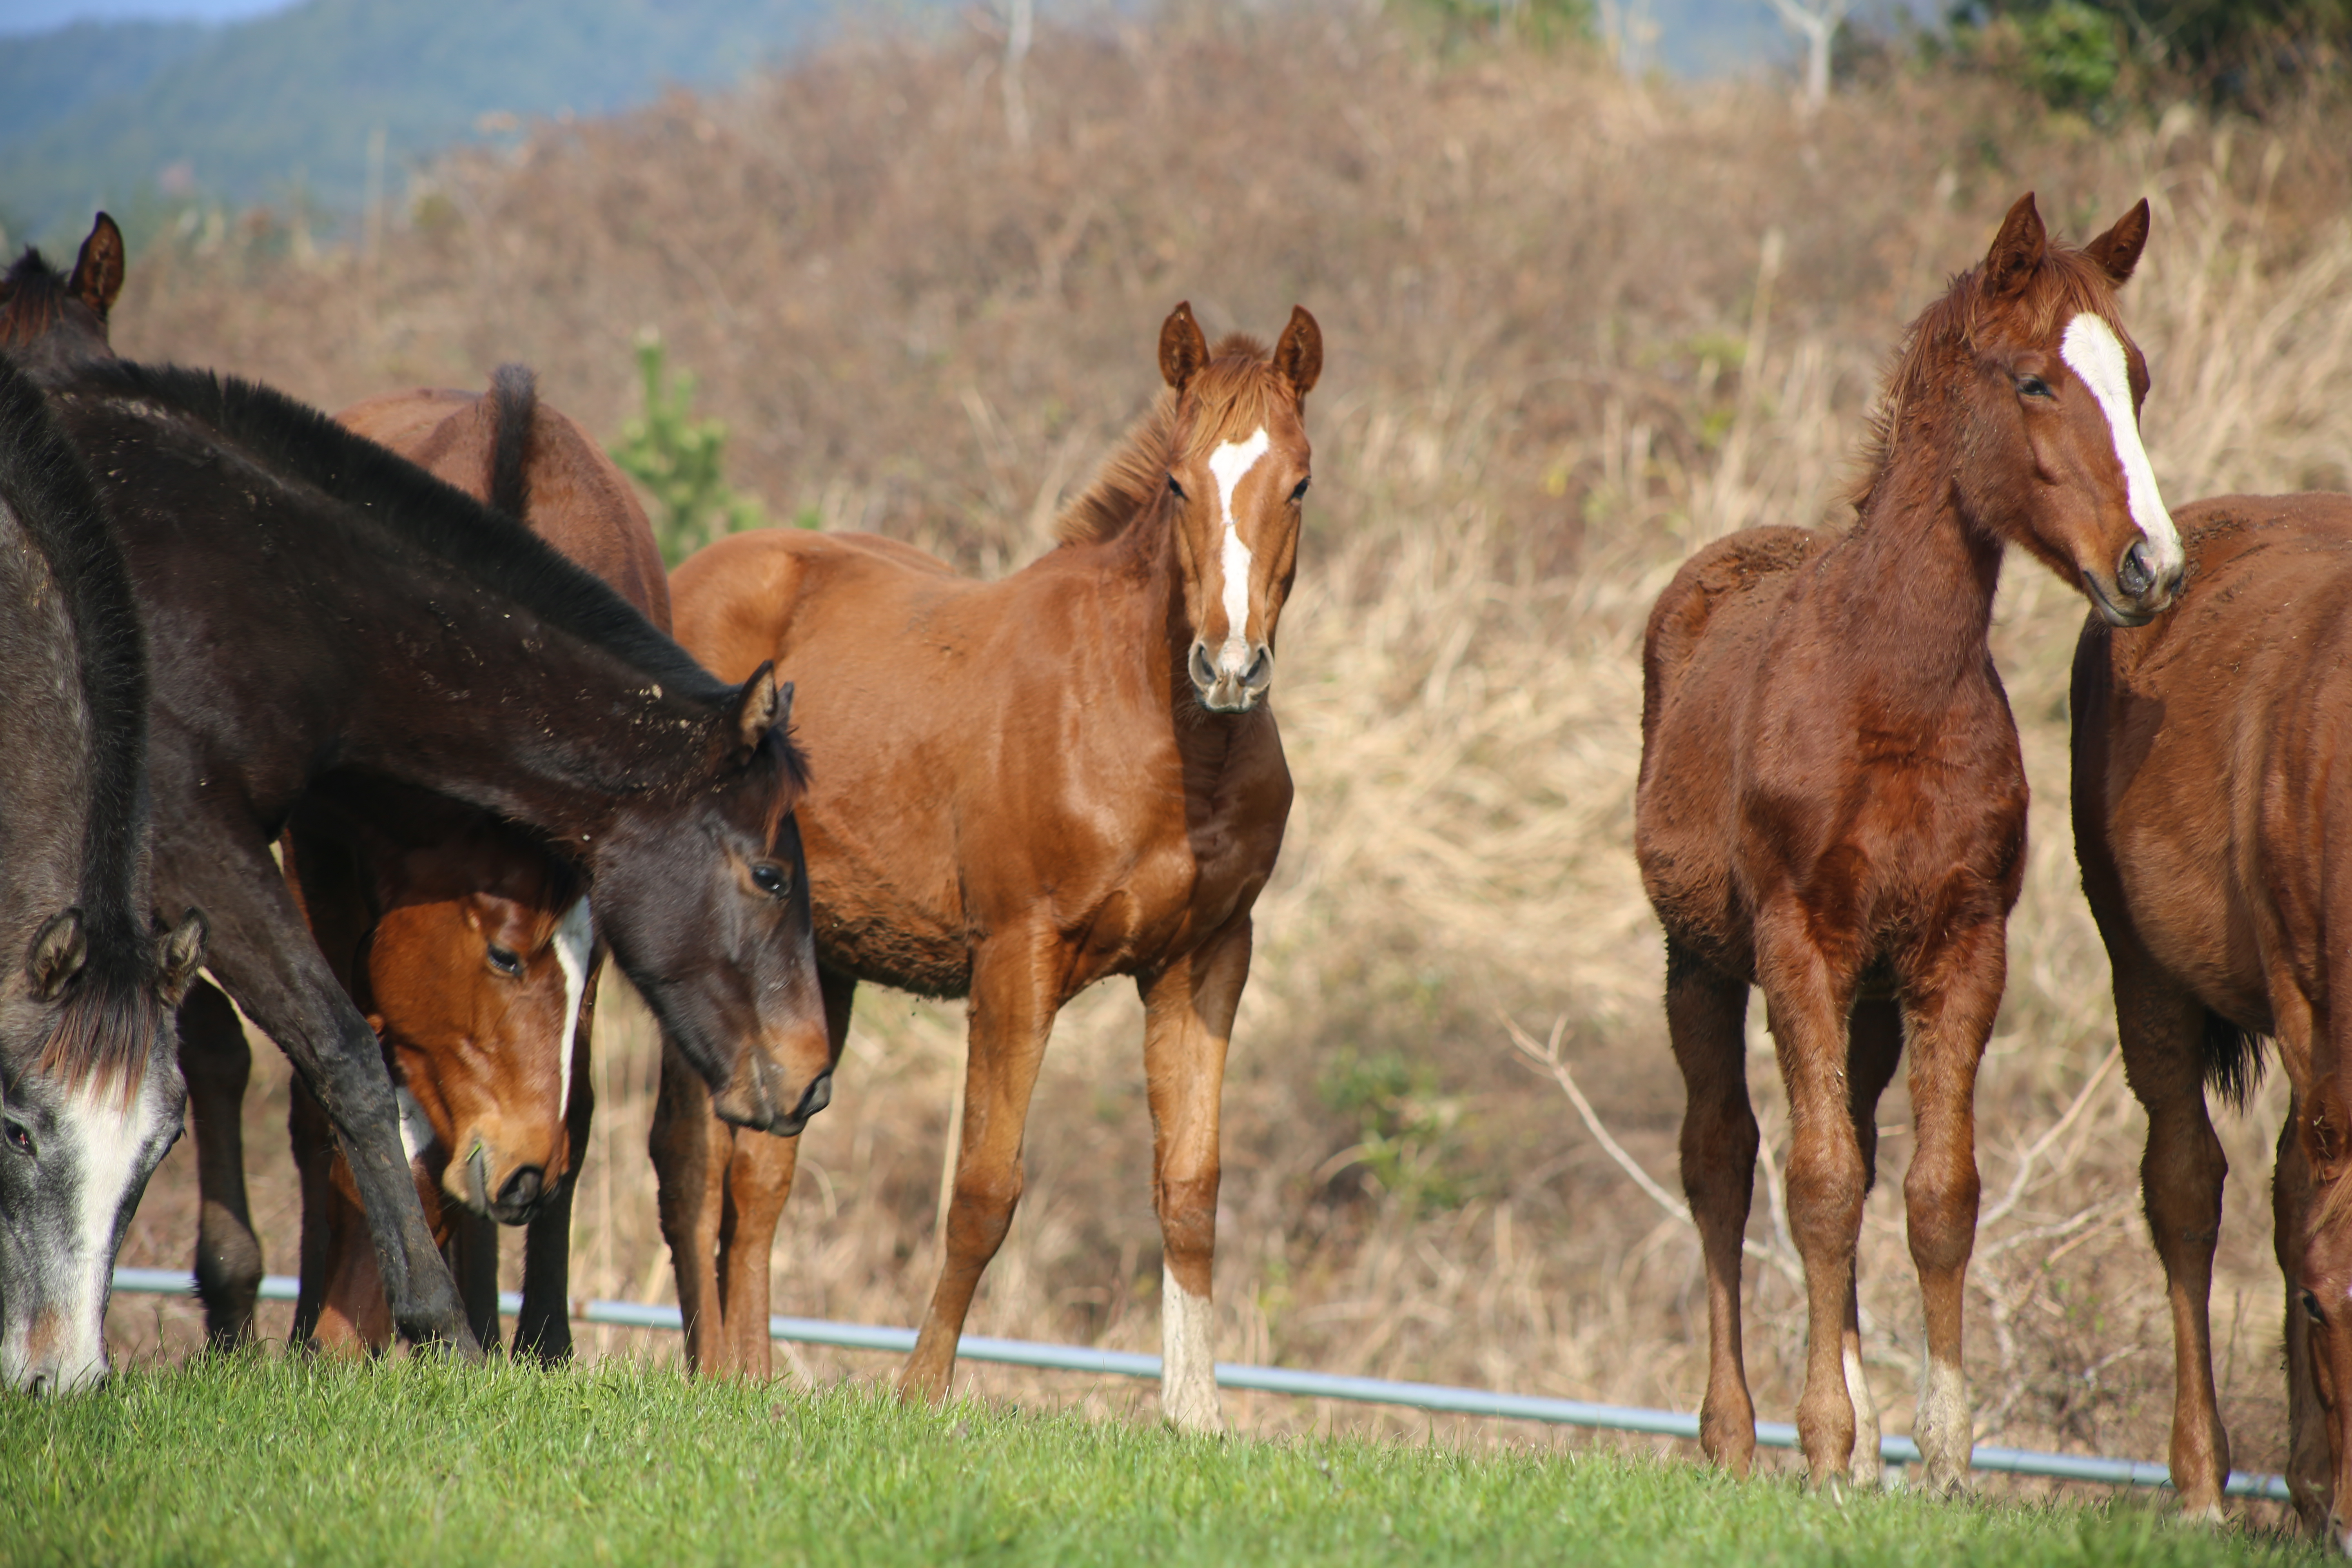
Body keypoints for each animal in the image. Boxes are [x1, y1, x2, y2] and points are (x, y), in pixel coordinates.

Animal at [27, 352, 833, 1354]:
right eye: (770, 876)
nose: (812, 1077)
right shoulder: (213, 844)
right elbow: (345, 1064)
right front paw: (408, 1321)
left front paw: (527, 1343)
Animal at [663, 305, 1326, 1439]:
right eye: (1176, 484)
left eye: (1299, 483)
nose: (1230, 666)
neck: (1162, 735)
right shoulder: (1018, 957)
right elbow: (982, 1188)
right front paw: (920, 1394)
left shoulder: (1204, 960)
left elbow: (1190, 1186)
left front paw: (1196, 1415)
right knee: (689, 1159)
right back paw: (708, 1374)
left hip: (813, 961)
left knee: (760, 1165)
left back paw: (751, 1380)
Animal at [1637, 200, 2183, 1495]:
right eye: (2034, 380)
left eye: (2136, 379)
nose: (2152, 566)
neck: (1887, 684)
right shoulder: (1796, 943)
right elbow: (1815, 1183)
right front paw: (1823, 1440)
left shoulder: (1957, 946)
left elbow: (1936, 1192)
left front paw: (1937, 1447)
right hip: (1699, 962)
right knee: (1721, 1161)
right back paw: (1733, 1434)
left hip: (1873, 997)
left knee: (1861, 1144)